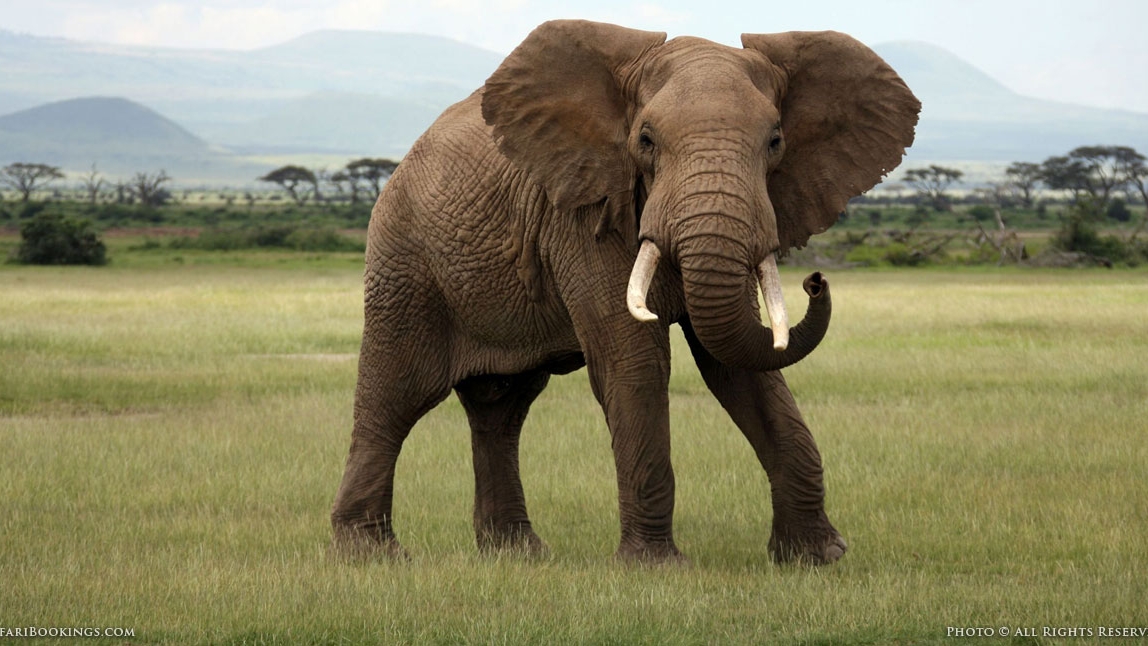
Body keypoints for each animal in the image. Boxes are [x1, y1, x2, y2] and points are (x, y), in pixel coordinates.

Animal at [331, 19, 919, 564]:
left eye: (775, 142)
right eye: (646, 141)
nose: (815, 281)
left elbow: (740, 365)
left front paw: (818, 559)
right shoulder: (584, 213)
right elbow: (634, 361)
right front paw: (656, 568)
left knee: (501, 408)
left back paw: (519, 556)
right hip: (404, 264)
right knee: (396, 395)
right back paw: (371, 555)